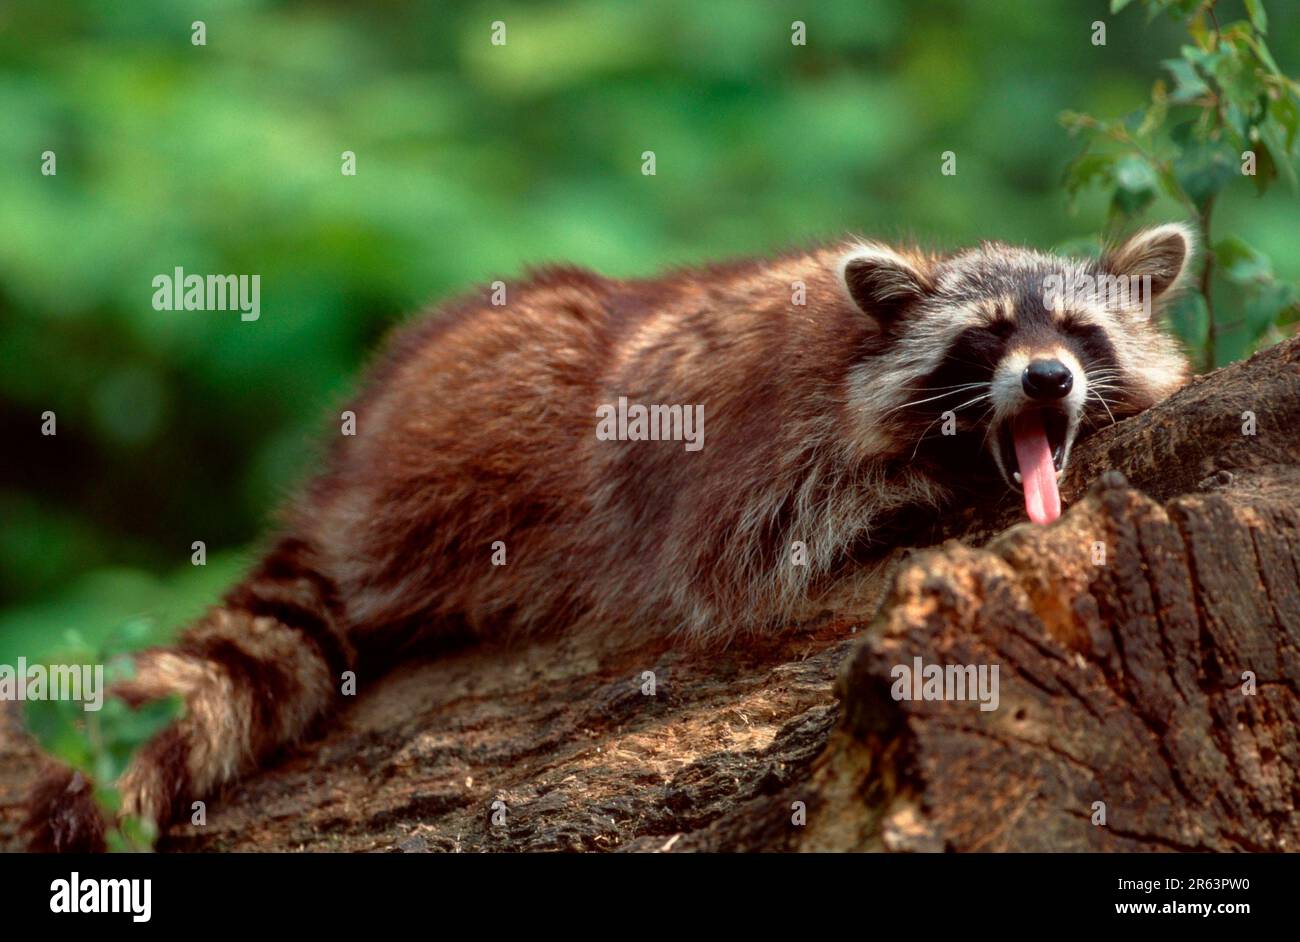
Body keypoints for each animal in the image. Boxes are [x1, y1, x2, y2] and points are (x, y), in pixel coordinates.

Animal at [24, 223, 1193, 851]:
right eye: (988, 338)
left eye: (1078, 332)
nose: (1047, 380)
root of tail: (340, 482)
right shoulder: (758, 457)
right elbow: (750, 557)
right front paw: (914, 488)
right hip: (482, 443)